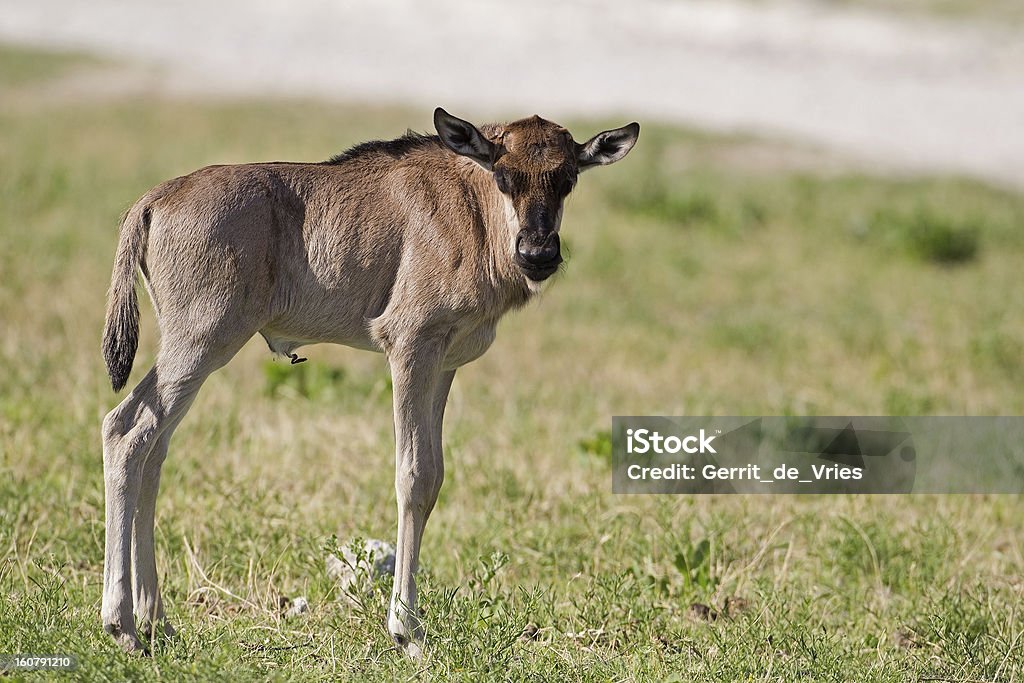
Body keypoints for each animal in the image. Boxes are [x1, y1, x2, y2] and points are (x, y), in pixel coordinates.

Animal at [99, 108, 634, 655]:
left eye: (567, 179)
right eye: (504, 177)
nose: (539, 254)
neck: (474, 210)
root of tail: (154, 200)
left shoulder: (444, 364)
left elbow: (435, 477)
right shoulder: (410, 347)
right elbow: (413, 476)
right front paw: (406, 629)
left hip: (192, 353)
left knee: (153, 451)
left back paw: (156, 622)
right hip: (201, 344)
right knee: (125, 432)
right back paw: (121, 624)